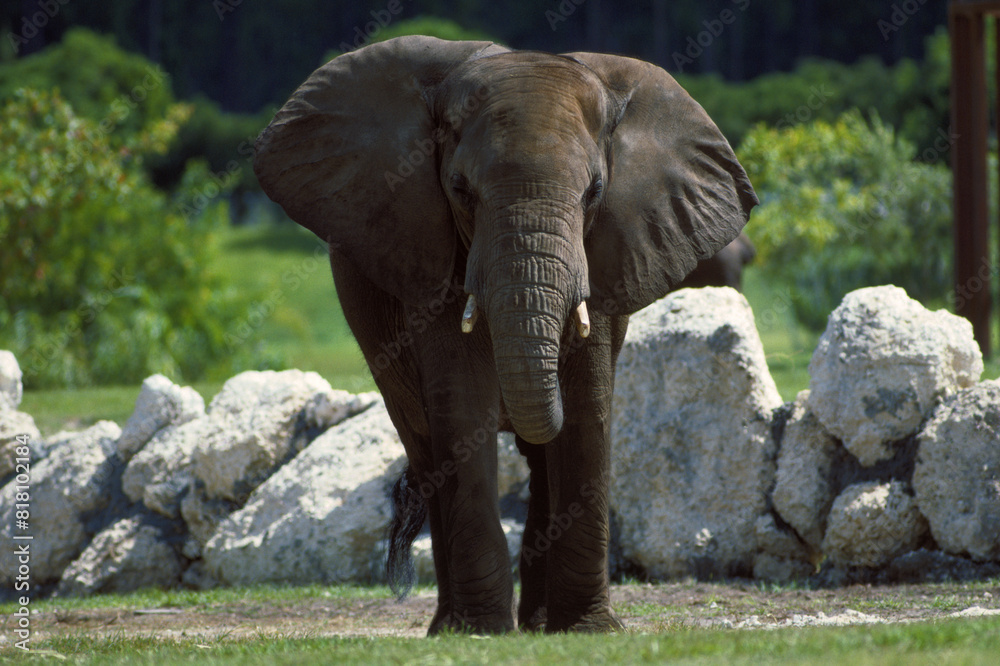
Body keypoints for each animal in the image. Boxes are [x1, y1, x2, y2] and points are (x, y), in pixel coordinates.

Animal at [253, 36, 757, 634]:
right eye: (460, 190)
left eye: (595, 193)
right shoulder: (428, 254)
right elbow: (463, 402)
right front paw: (481, 631)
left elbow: (586, 410)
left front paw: (588, 630)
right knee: (427, 453)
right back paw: (451, 625)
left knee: (539, 460)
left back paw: (538, 623)